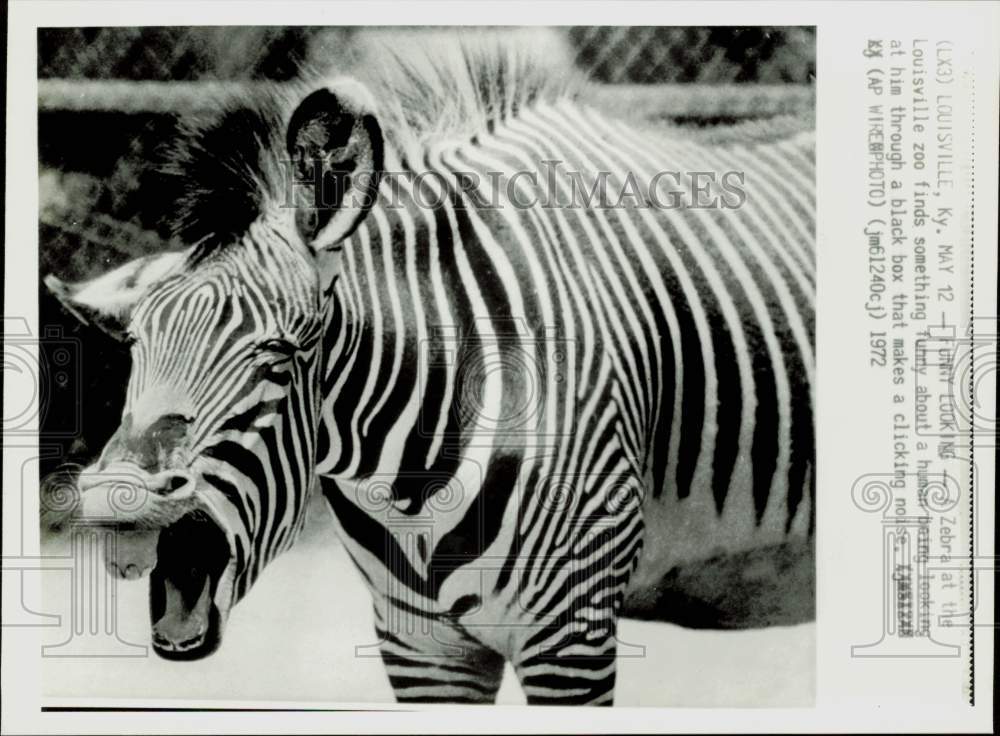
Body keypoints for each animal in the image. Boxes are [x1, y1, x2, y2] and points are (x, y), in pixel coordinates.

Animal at [47, 31, 812, 704]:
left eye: (279, 356)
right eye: (136, 349)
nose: (116, 494)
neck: (403, 479)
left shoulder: (572, 633)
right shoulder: (421, 646)